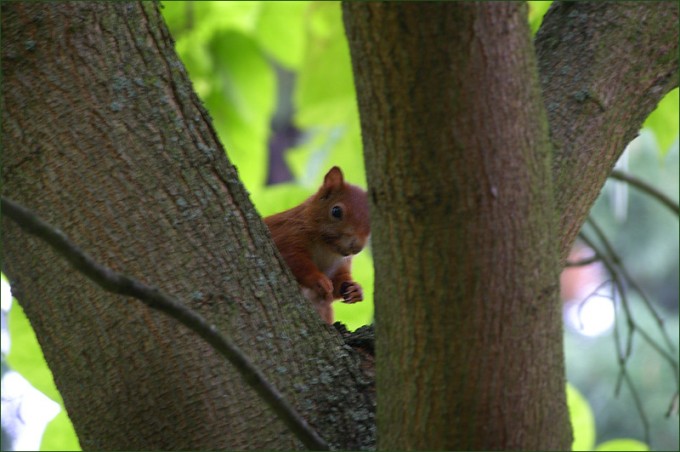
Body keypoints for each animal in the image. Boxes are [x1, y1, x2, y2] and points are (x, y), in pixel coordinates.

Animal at [264, 167, 370, 324]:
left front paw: (356, 290)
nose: (356, 247)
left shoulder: (341, 264)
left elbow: (339, 281)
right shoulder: (287, 234)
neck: (327, 248)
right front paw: (319, 280)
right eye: (336, 211)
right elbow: (294, 260)